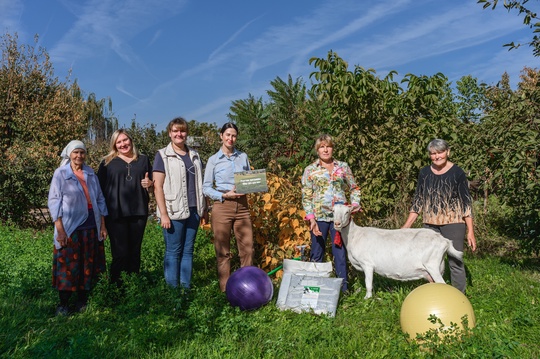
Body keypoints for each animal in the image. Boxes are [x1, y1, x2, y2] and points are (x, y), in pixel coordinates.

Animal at [334, 204, 464, 300]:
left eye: (347, 212)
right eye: (333, 211)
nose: (337, 224)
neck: (354, 235)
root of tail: (445, 241)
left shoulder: (367, 264)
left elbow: (368, 283)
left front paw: (367, 299)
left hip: (432, 265)